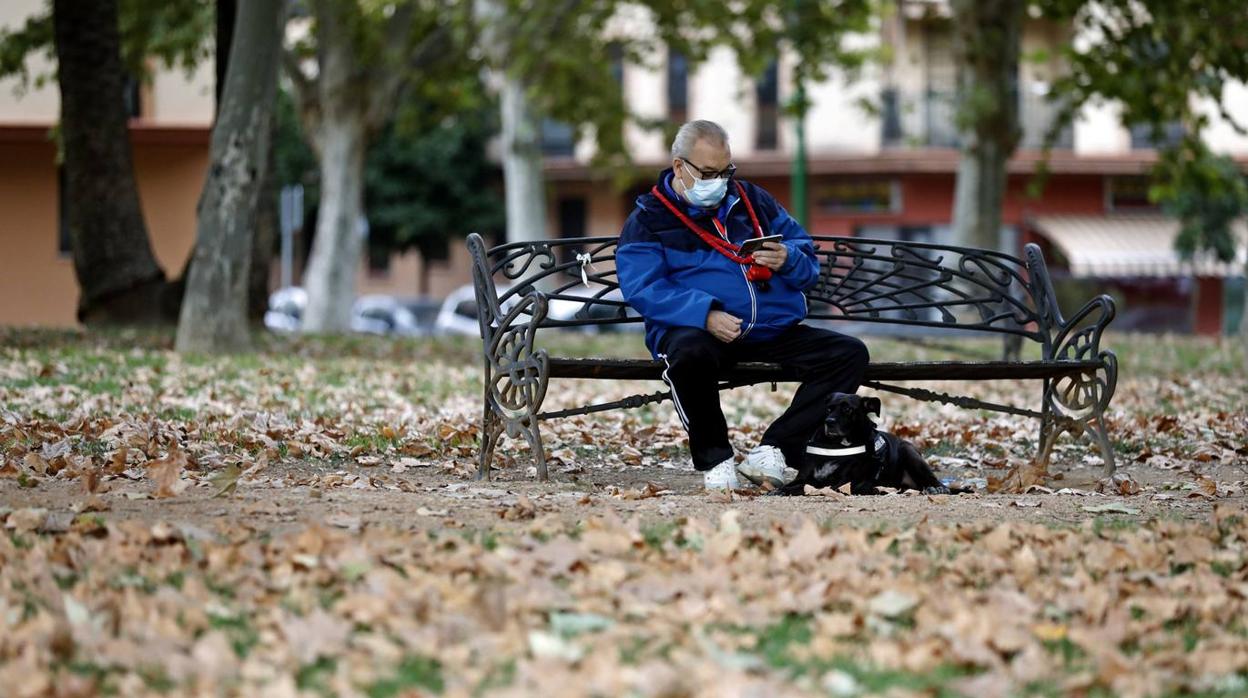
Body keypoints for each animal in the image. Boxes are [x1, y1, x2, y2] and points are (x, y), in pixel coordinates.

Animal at [768, 394, 953, 496]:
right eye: (829, 409)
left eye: (848, 409)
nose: (829, 422)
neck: (836, 445)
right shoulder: (803, 476)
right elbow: (793, 484)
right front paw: (779, 490)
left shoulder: (841, 482)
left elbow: (802, 488)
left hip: (910, 453)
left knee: (938, 483)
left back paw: (936, 489)